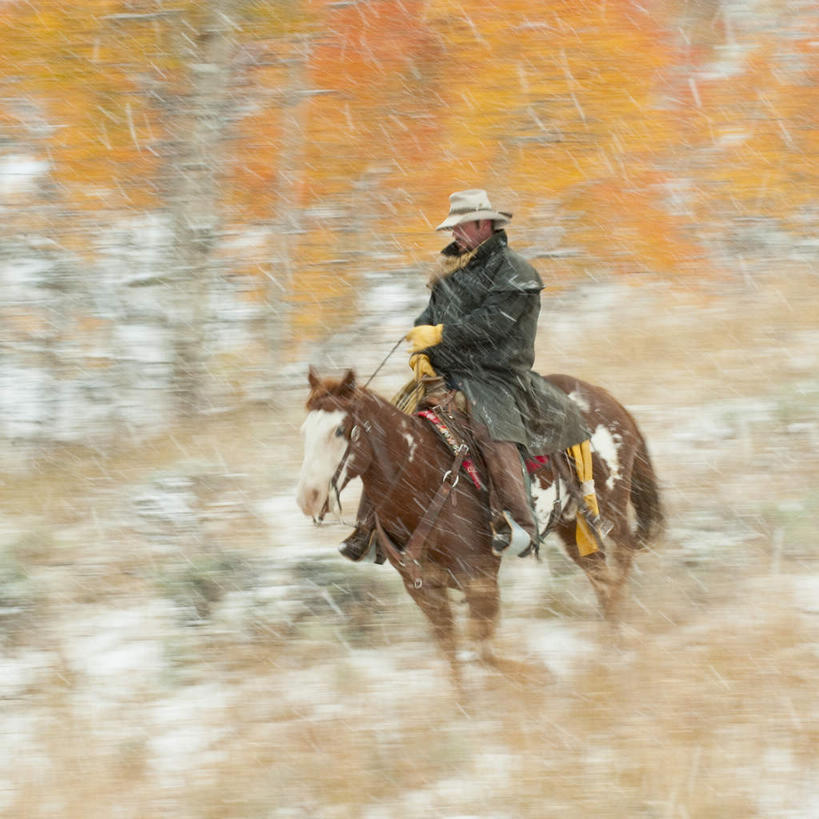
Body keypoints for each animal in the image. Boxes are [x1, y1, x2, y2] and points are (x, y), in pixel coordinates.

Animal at [298, 366, 664, 684]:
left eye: (339, 430)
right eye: (305, 431)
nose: (308, 497)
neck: (423, 476)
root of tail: (606, 399)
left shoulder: (480, 580)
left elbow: (483, 652)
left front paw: (537, 674)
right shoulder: (424, 589)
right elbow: (454, 658)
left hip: (610, 510)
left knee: (619, 567)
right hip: (571, 527)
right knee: (600, 576)